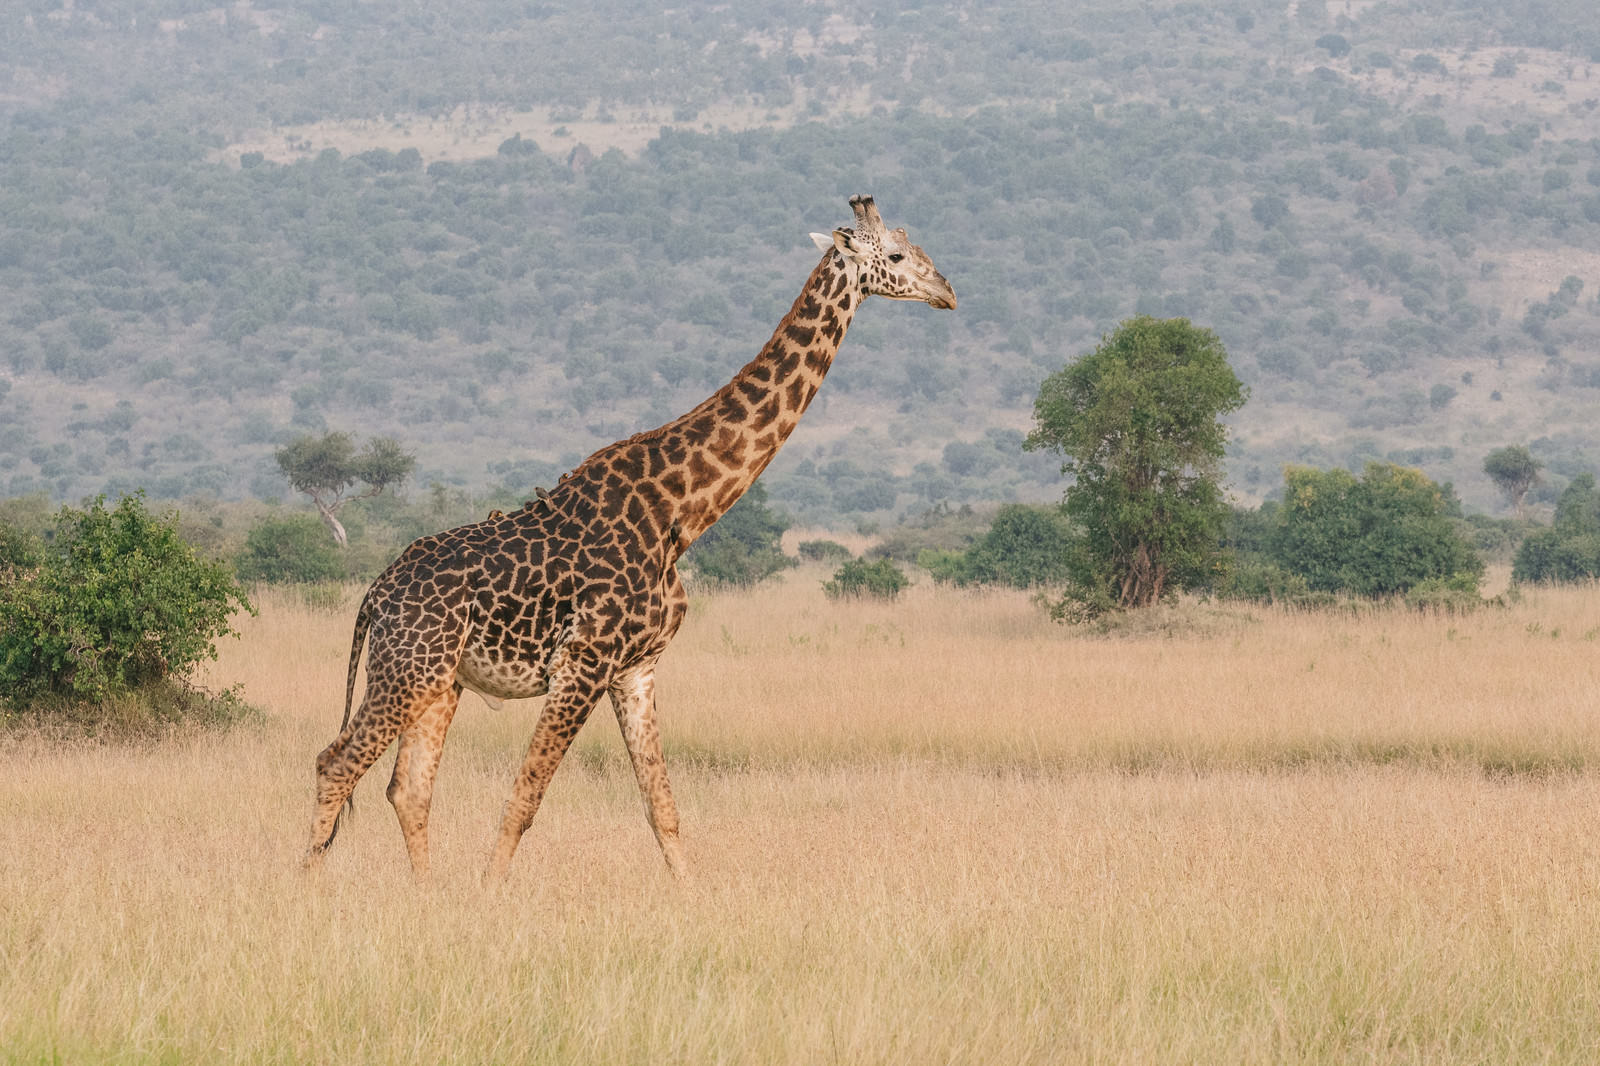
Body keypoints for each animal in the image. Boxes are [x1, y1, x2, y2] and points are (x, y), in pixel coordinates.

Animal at [304, 192, 953, 877]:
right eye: (897, 255)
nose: (947, 291)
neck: (682, 511)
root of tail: (374, 597)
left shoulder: (637, 669)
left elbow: (661, 806)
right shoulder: (583, 663)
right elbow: (525, 799)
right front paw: (488, 890)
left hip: (439, 681)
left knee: (407, 787)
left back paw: (426, 893)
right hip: (410, 669)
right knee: (336, 763)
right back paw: (308, 883)